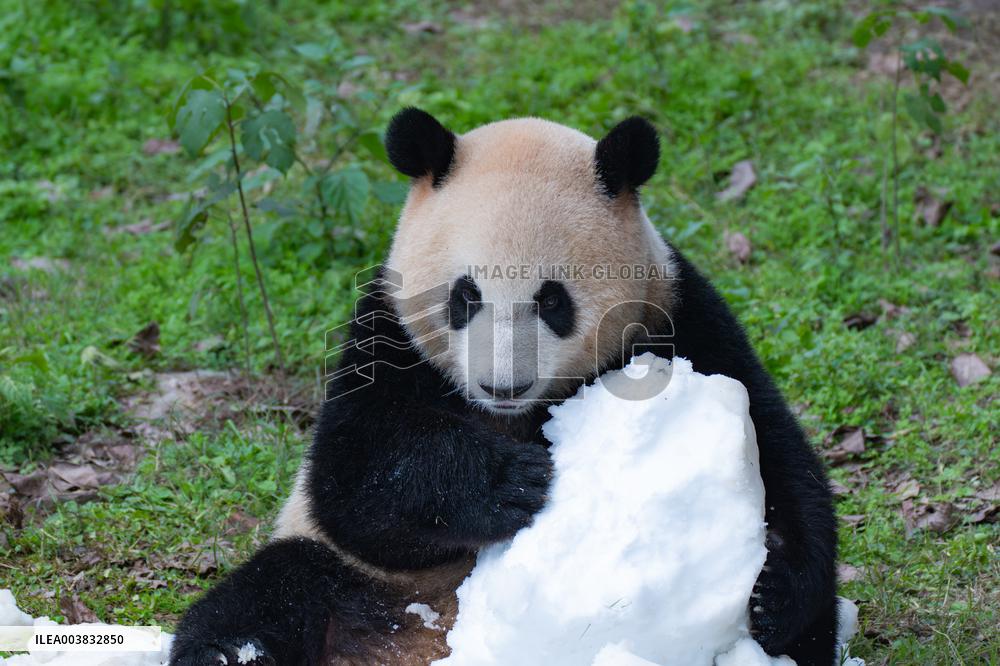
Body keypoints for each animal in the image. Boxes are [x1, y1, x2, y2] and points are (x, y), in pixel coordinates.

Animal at [169, 109, 838, 666]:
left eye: (553, 300)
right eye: (465, 296)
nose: (502, 383)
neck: (511, 416)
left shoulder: (679, 315)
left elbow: (780, 455)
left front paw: (773, 593)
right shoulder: (387, 330)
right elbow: (351, 480)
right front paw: (512, 481)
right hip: (358, 580)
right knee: (275, 588)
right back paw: (230, 655)